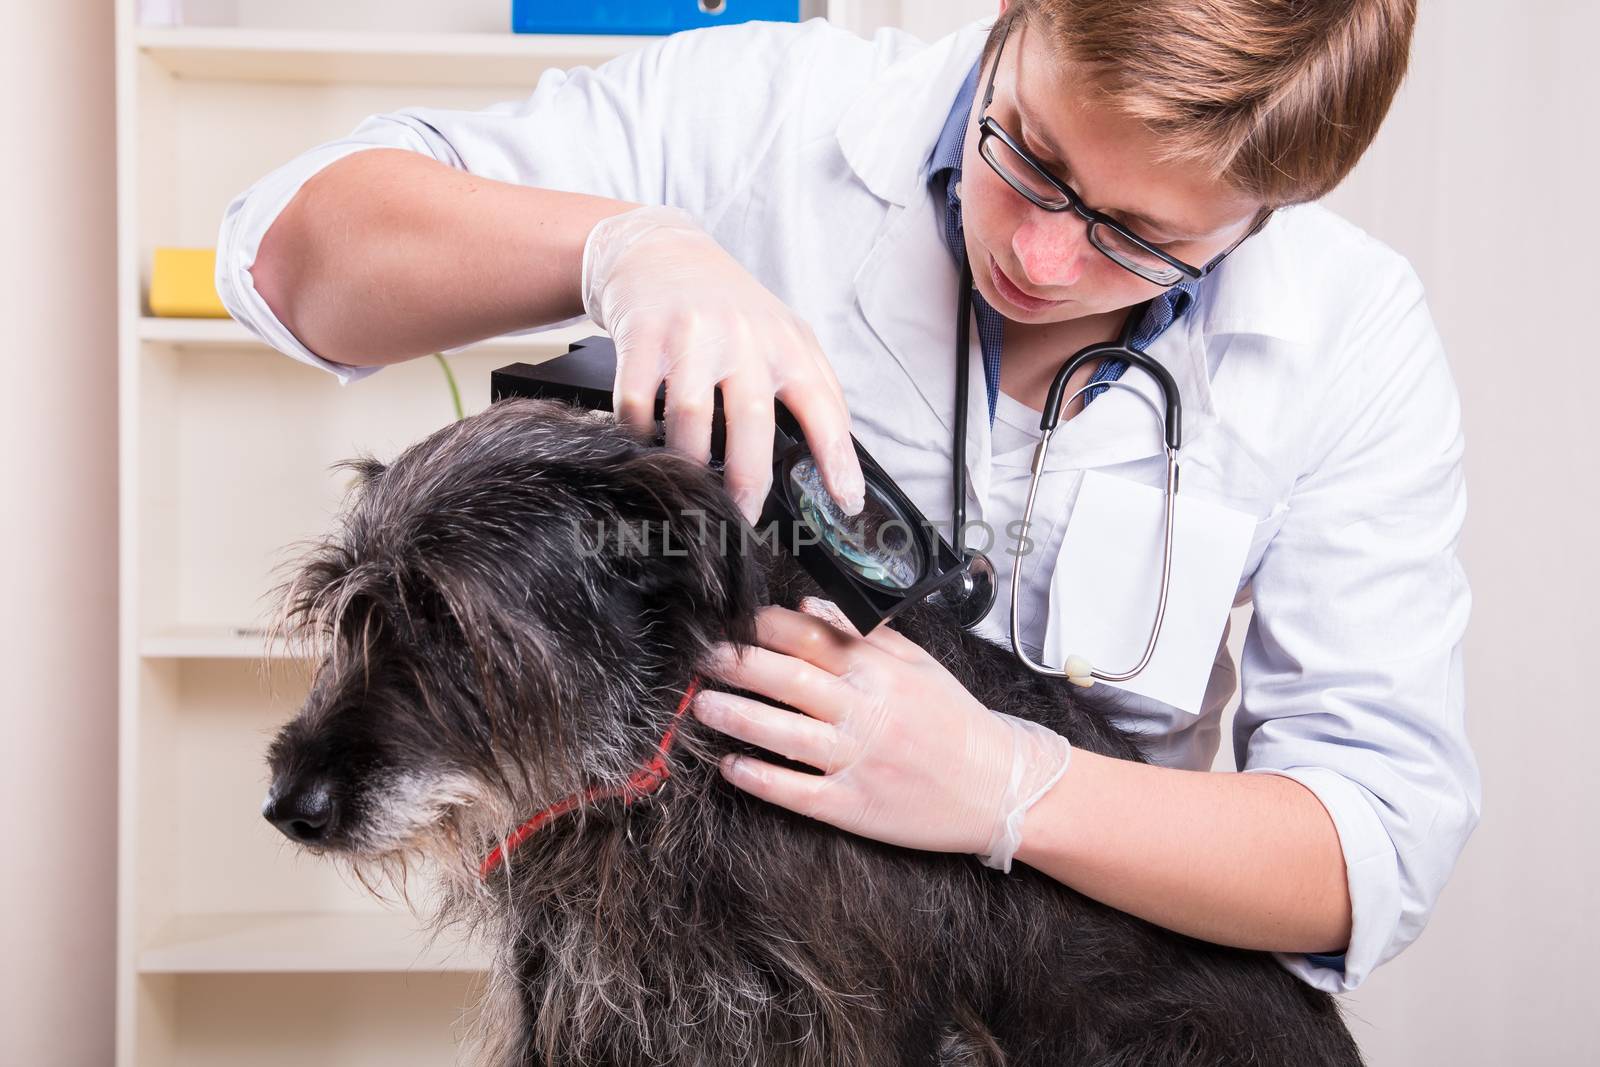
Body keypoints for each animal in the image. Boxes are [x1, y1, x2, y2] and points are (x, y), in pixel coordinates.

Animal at [262, 396, 1363, 1062]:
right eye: (349, 615)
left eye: (447, 620)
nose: (288, 805)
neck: (668, 769)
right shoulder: (569, 996)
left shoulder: (864, 1018)